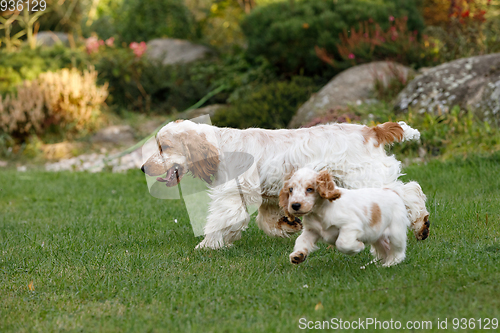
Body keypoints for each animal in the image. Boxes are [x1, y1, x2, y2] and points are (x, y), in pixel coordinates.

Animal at [280, 167, 412, 266]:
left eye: (309, 189)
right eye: (290, 190)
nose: (295, 205)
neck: (319, 212)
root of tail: (392, 191)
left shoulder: (350, 226)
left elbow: (342, 243)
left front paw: (358, 246)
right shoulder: (311, 231)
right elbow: (301, 240)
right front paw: (298, 255)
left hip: (396, 232)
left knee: (398, 252)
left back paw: (390, 264)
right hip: (377, 237)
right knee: (384, 251)